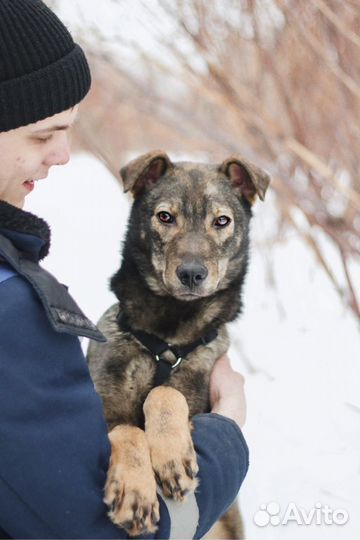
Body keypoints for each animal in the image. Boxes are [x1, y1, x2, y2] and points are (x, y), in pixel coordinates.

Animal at [87, 150, 270, 536]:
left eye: (222, 221)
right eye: (165, 216)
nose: (191, 274)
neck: (168, 336)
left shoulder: (198, 400)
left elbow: (165, 392)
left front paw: (171, 456)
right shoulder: (104, 406)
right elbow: (128, 429)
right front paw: (134, 491)